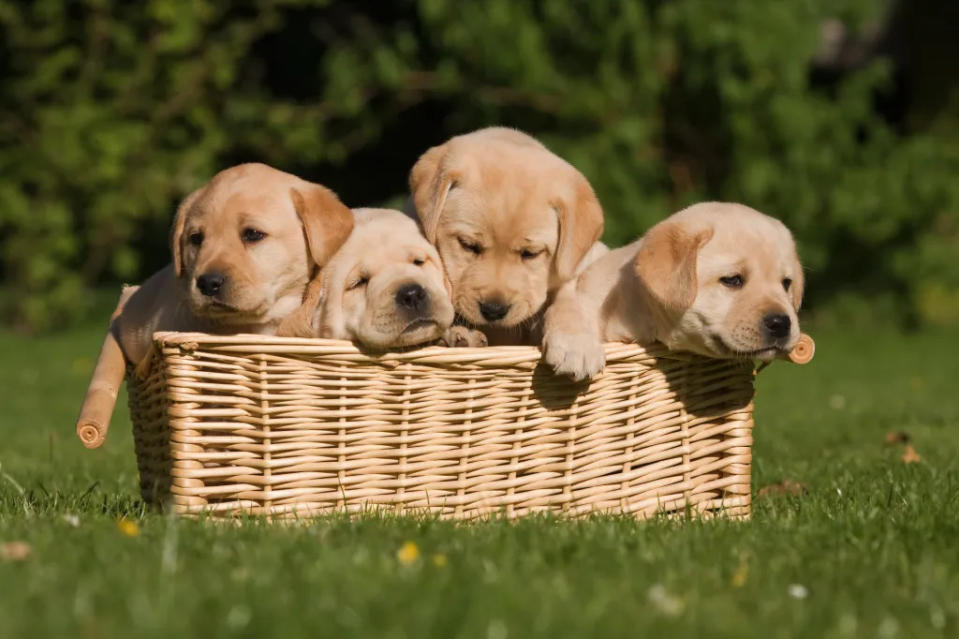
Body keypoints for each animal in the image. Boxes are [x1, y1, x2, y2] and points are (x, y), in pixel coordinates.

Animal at [406, 125, 604, 344]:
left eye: (530, 253)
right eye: (468, 245)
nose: (493, 310)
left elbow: (566, 296)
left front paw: (574, 341)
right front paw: (457, 334)